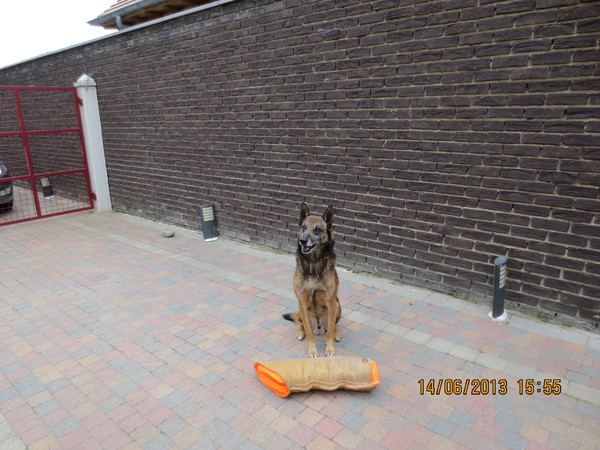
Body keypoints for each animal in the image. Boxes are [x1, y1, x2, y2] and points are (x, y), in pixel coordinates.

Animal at [283, 202, 342, 357]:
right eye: (304, 227)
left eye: (317, 229)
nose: (302, 240)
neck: (313, 262)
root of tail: (319, 327)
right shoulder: (302, 302)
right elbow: (309, 332)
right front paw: (312, 350)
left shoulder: (331, 301)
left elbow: (331, 329)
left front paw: (330, 348)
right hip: (300, 309)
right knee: (302, 323)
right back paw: (300, 332)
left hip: (337, 305)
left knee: (333, 325)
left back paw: (336, 334)